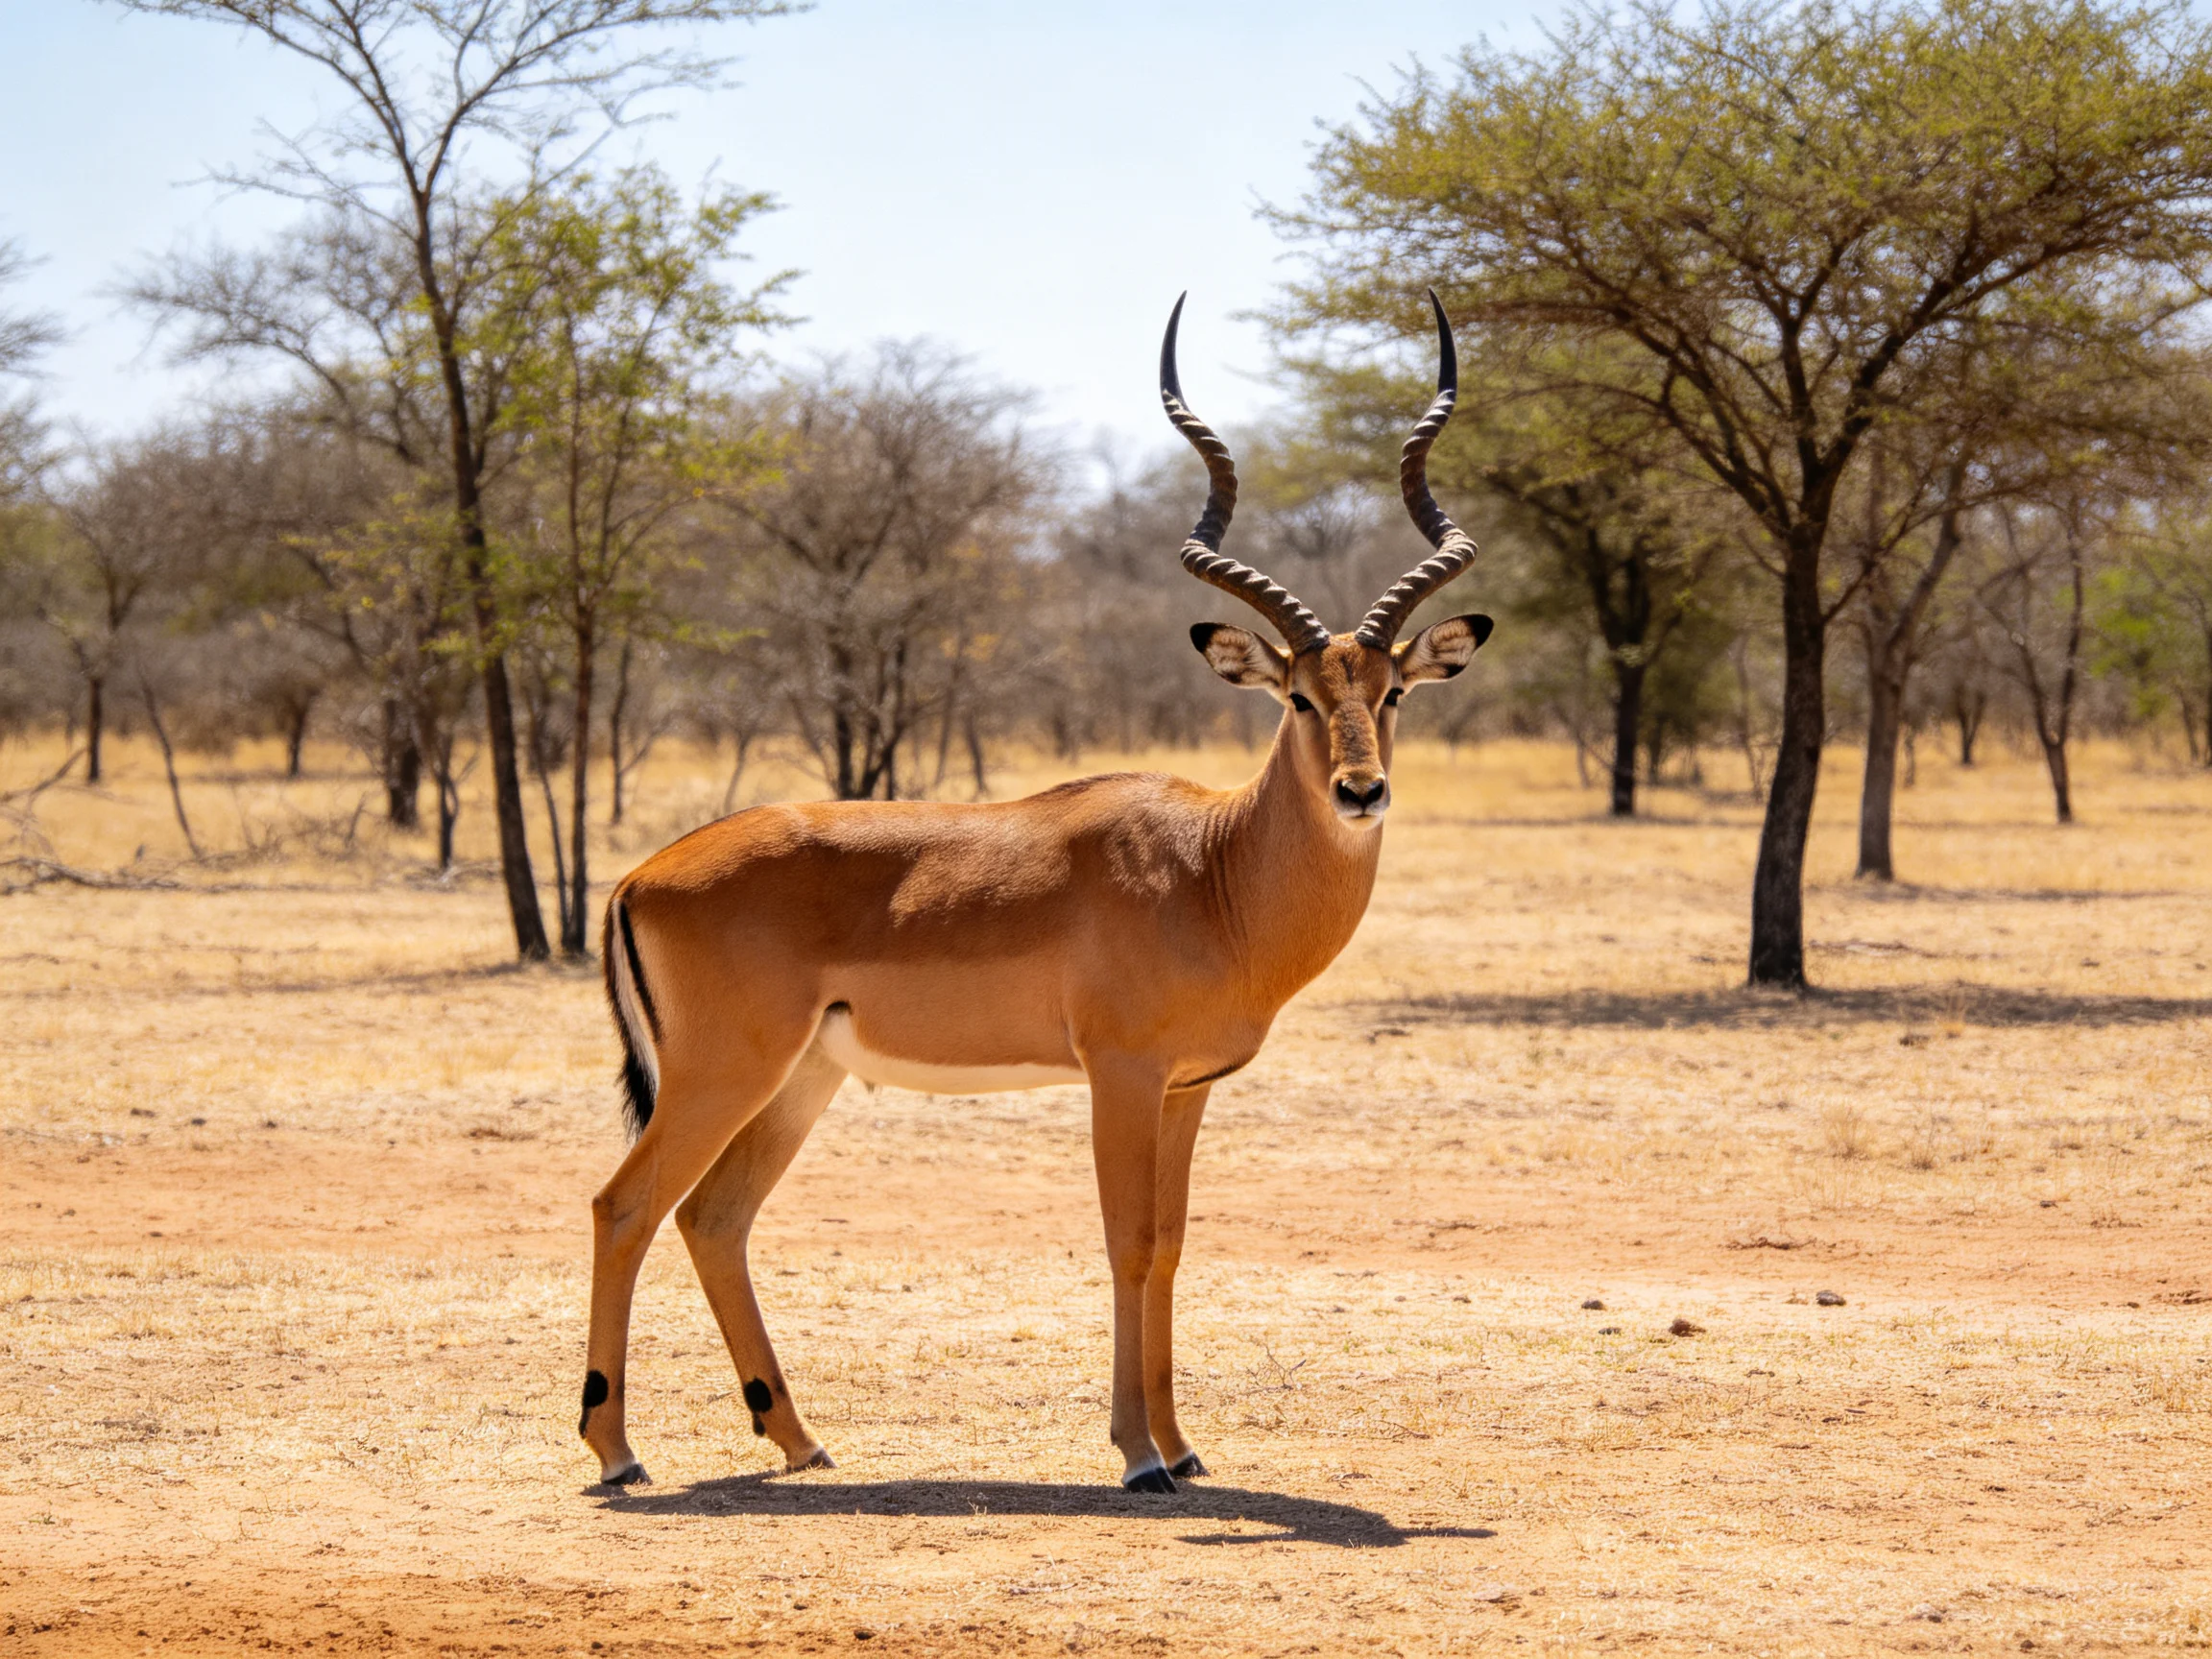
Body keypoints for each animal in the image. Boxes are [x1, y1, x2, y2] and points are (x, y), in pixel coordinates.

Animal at [582, 292, 1490, 1493]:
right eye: (1297, 695)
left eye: (1392, 692)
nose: (1361, 791)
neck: (1214, 872)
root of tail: (639, 875)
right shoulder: (1119, 1076)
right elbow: (1125, 1244)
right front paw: (1139, 1456)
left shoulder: (1187, 1089)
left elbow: (1171, 1246)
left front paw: (1182, 1445)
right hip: (718, 1074)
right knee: (625, 1205)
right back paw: (617, 1452)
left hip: (798, 1079)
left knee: (714, 1219)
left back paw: (800, 1438)